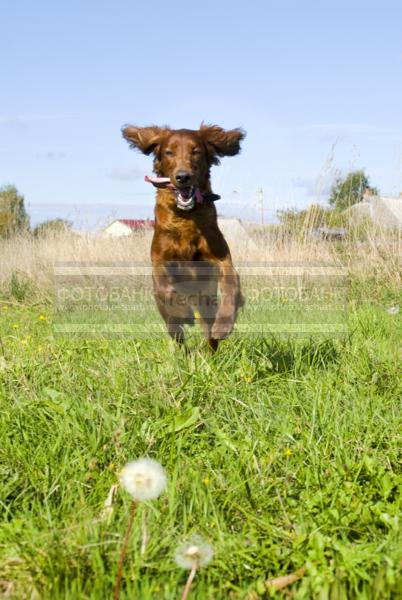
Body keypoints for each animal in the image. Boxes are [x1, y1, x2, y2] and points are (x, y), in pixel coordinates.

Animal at [121, 124, 245, 350]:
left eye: (195, 151)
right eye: (169, 152)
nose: (182, 176)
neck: (186, 216)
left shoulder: (221, 259)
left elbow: (231, 284)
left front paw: (224, 324)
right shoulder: (160, 260)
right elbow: (166, 288)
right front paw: (182, 311)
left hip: (205, 303)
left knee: (209, 334)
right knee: (177, 333)